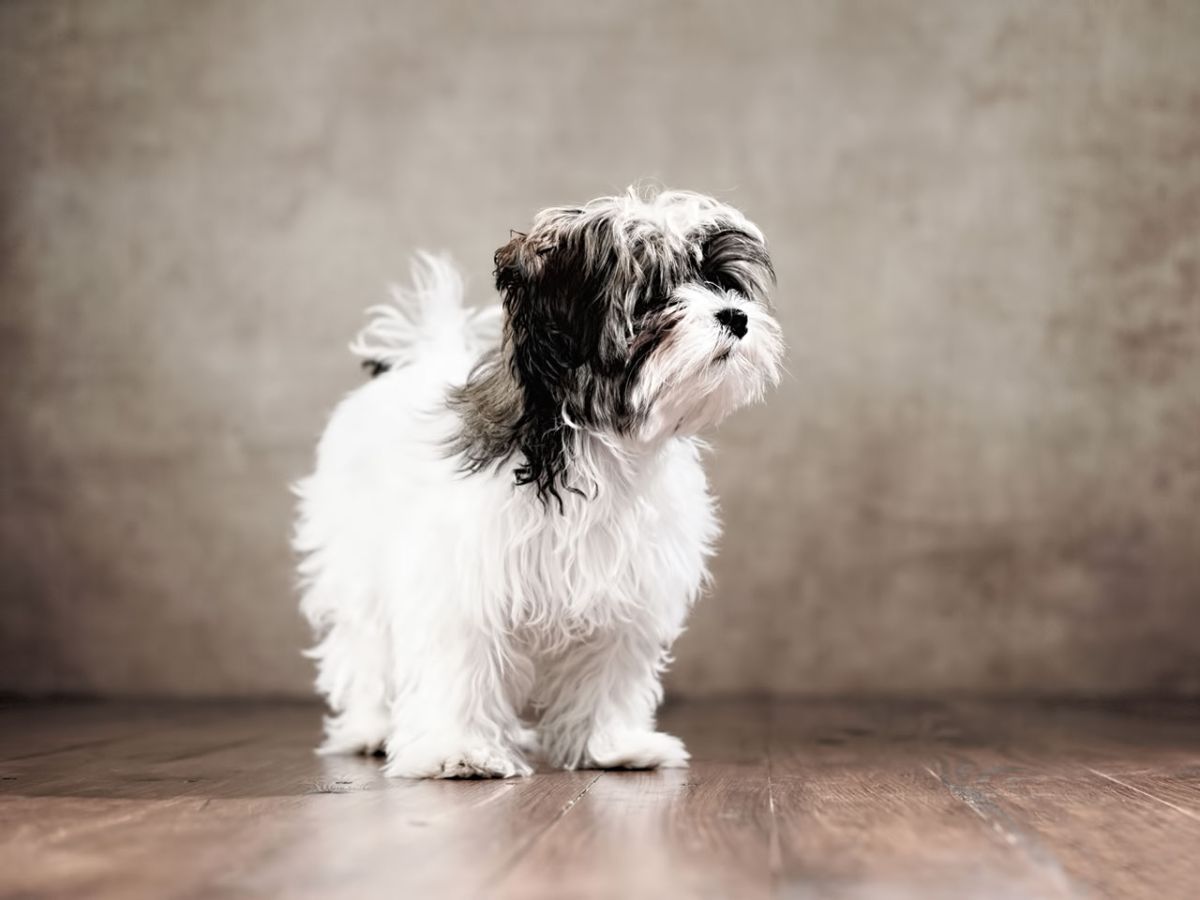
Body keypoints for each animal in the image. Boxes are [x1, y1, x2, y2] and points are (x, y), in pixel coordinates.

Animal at [293, 188, 782, 778]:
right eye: (652, 295)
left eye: (722, 283)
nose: (735, 315)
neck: (593, 447)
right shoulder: (463, 584)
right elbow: (462, 664)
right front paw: (460, 750)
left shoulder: (625, 586)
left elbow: (608, 670)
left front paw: (611, 744)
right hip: (355, 561)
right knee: (362, 645)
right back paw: (369, 728)